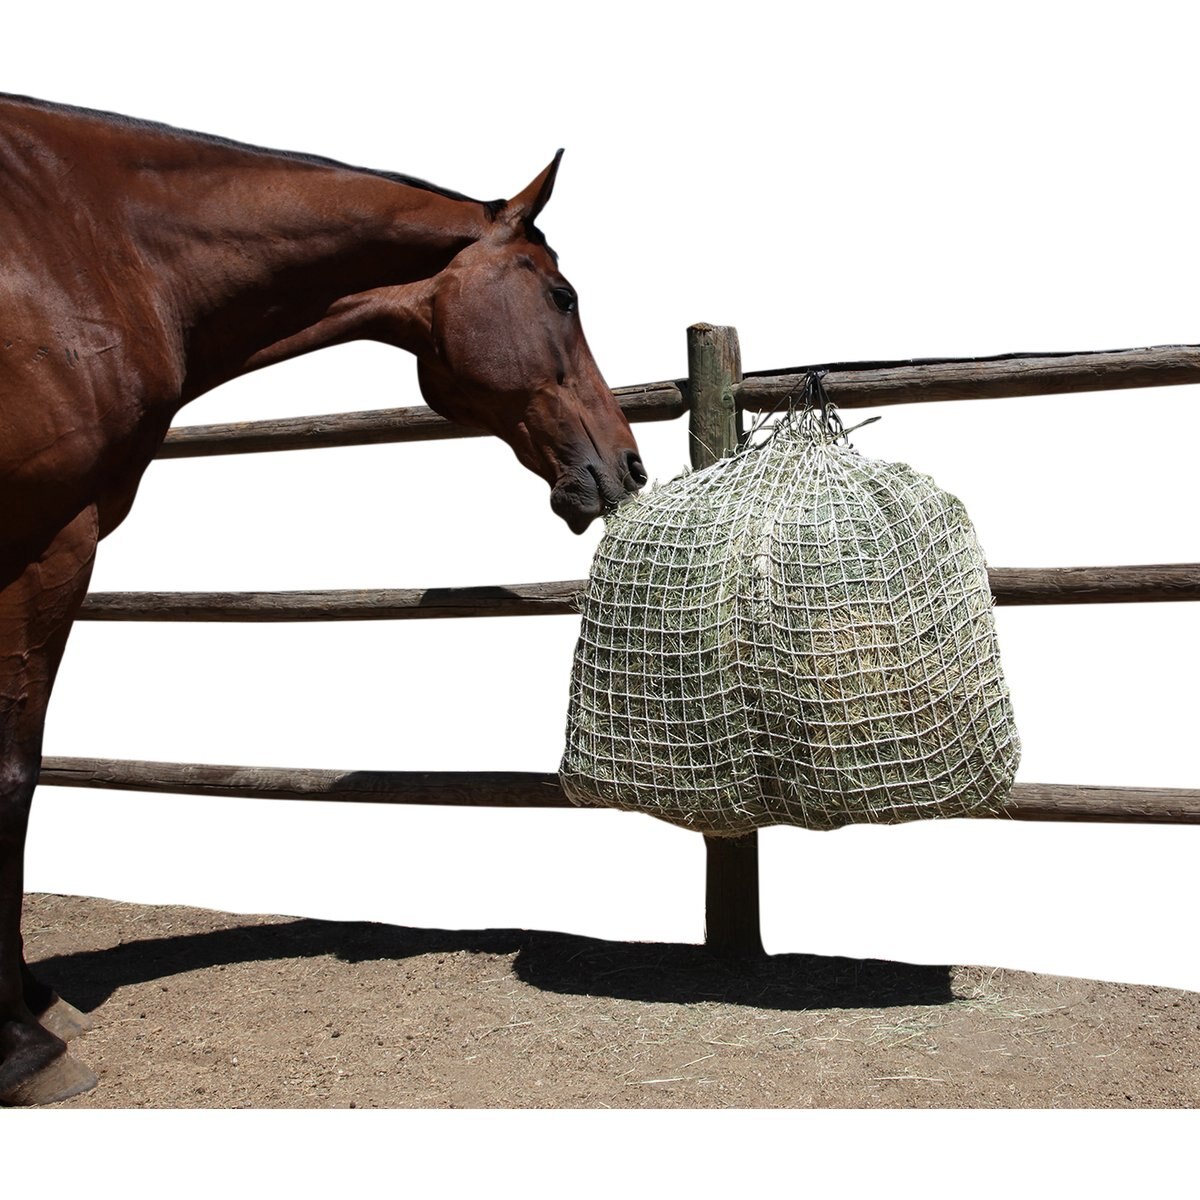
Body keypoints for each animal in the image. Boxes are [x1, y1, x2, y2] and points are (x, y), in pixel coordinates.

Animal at [0, 93, 646, 1105]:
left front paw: (30, 1000)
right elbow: (13, 773)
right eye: (562, 296)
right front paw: (22, 1046)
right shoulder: (46, 540)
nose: (626, 464)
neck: (92, 240)